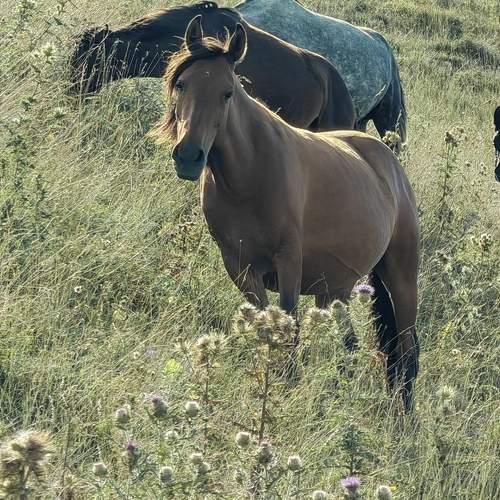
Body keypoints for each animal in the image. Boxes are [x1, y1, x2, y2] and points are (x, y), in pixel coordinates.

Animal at [153, 16, 420, 411]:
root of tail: (388, 161)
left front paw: (285, 387)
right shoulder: (241, 268)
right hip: (335, 290)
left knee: (407, 351)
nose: (188, 156)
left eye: (227, 92)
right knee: (351, 346)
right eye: (182, 84)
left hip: (400, 277)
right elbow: (265, 328)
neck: (249, 177)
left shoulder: (288, 261)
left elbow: (289, 328)